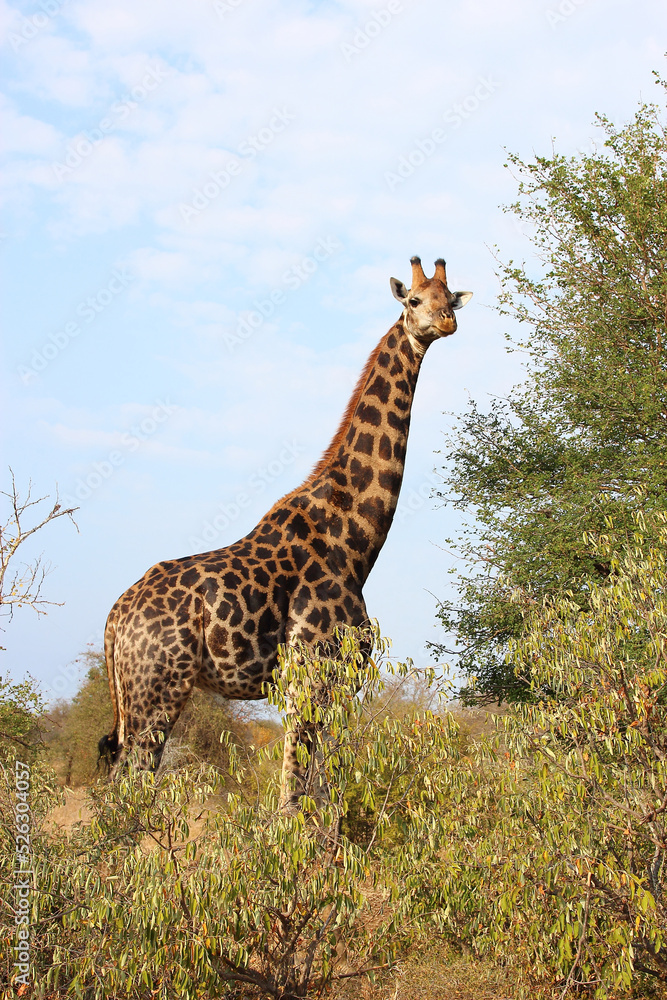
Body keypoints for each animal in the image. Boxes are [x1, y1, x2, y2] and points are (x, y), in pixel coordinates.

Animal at [98, 256, 472, 808]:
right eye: (413, 300)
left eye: (450, 299)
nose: (445, 322)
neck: (356, 540)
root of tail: (114, 620)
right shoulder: (310, 676)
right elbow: (293, 797)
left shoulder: (339, 684)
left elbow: (323, 794)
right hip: (156, 692)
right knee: (129, 792)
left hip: (137, 698)